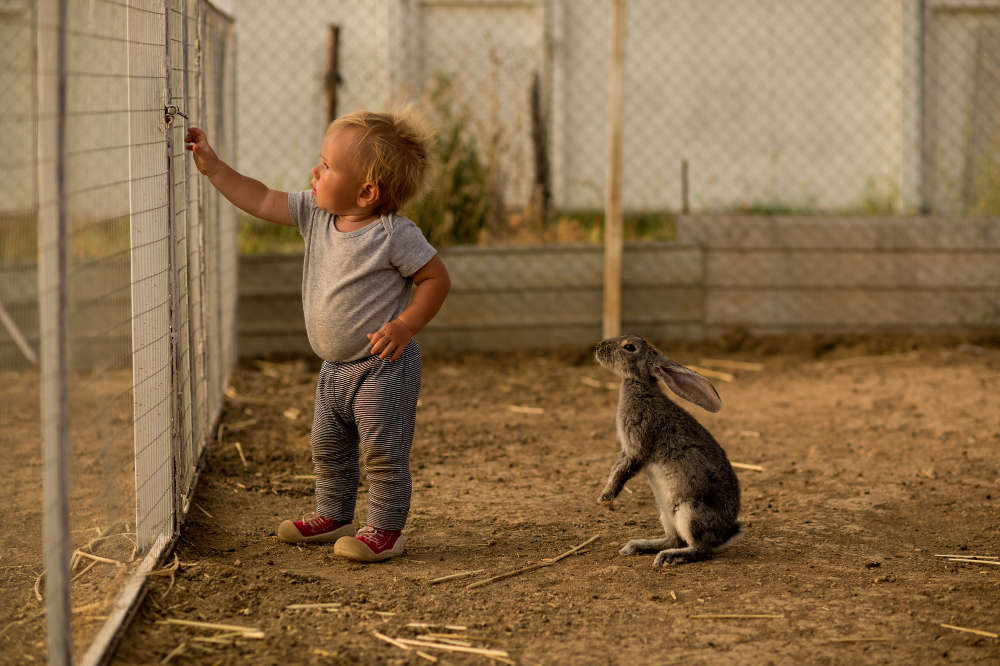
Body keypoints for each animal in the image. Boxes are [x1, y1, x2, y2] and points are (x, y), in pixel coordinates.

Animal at [592, 334, 744, 564]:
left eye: (629, 347)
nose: (599, 347)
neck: (641, 385)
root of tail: (723, 535)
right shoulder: (625, 449)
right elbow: (616, 467)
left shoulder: (638, 443)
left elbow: (623, 470)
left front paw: (605, 497)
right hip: (666, 512)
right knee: (674, 539)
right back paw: (636, 546)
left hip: (688, 512)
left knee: (700, 549)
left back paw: (668, 558)